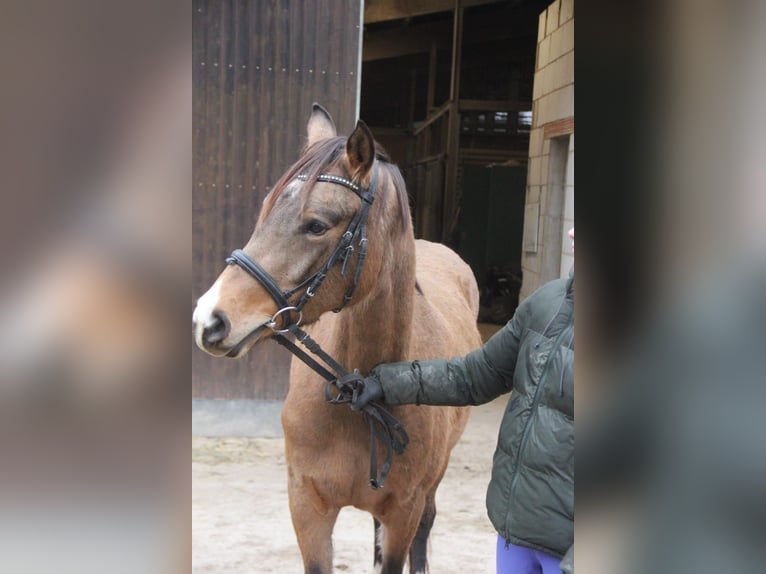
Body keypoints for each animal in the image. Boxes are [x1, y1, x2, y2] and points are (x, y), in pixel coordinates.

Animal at [194, 104, 480, 574]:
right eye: (265, 211)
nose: (209, 320)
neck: (359, 398)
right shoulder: (307, 507)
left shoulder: (404, 510)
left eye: (316, 225)